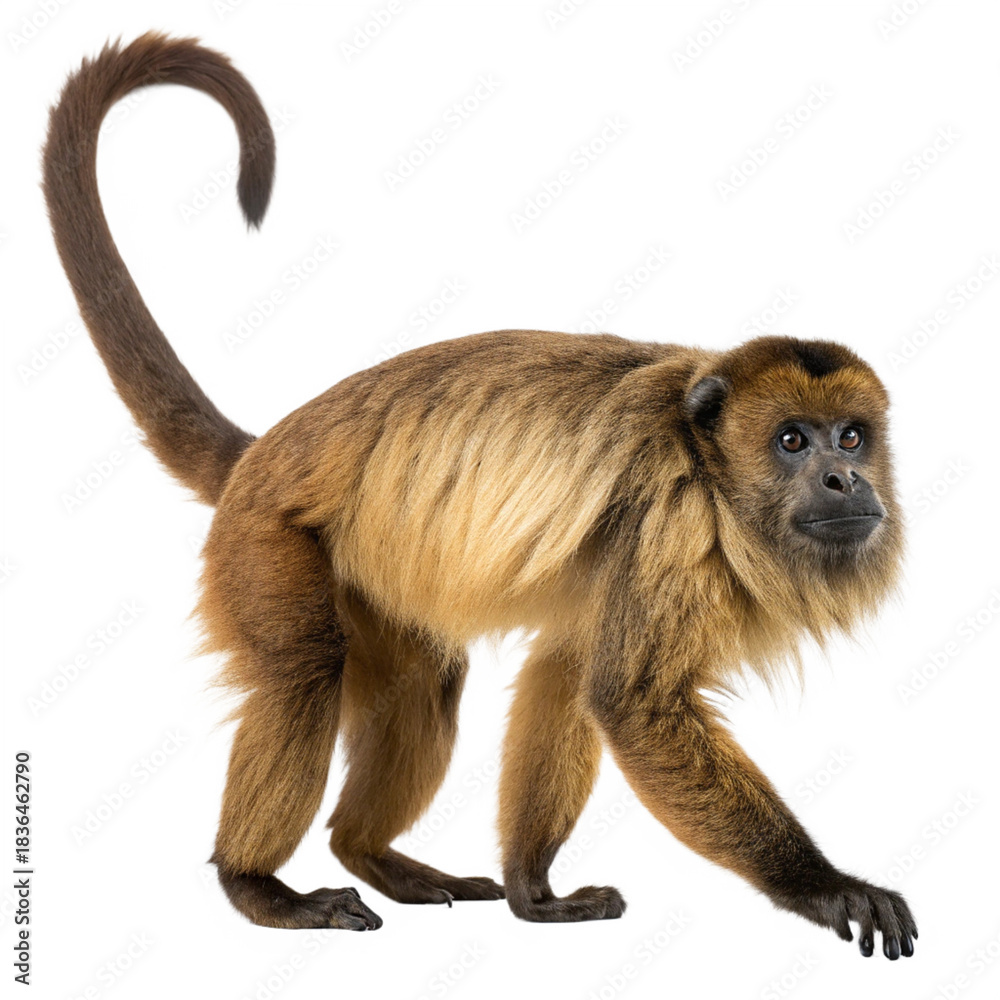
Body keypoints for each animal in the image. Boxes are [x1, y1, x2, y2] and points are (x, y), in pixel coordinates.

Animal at [42, 33, 917, 959]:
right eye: (792, 441)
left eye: (851, 437)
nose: (846, 477)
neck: (707, 462)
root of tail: (265, 454)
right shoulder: (673, 513)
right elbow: (634, 705)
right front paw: (825, 885)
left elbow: (568, 673)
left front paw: (534, 892)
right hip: (264, 536)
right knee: (306, 670)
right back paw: (257, 884)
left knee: (426, 676)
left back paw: (370, 853)